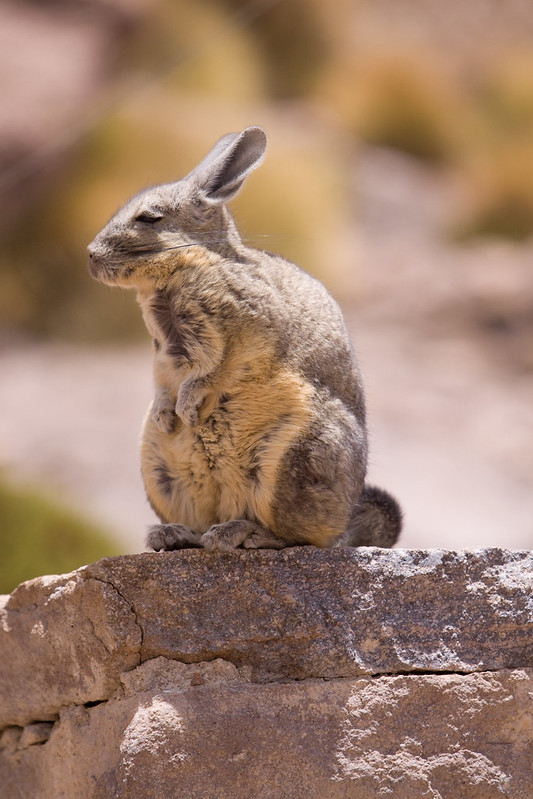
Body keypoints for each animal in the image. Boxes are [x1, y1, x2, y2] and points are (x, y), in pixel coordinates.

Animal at [87, 126, 402, 552]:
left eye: (149, 217)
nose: (90, 256)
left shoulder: (248, 330)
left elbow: (212, 371)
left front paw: (188, 410)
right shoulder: (162, 353)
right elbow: (162, 381)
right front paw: (168, 415)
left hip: (295, 460)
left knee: (297, 538)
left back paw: (239, 532)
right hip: (158, 470)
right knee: (204, 527)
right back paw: (172, 534)